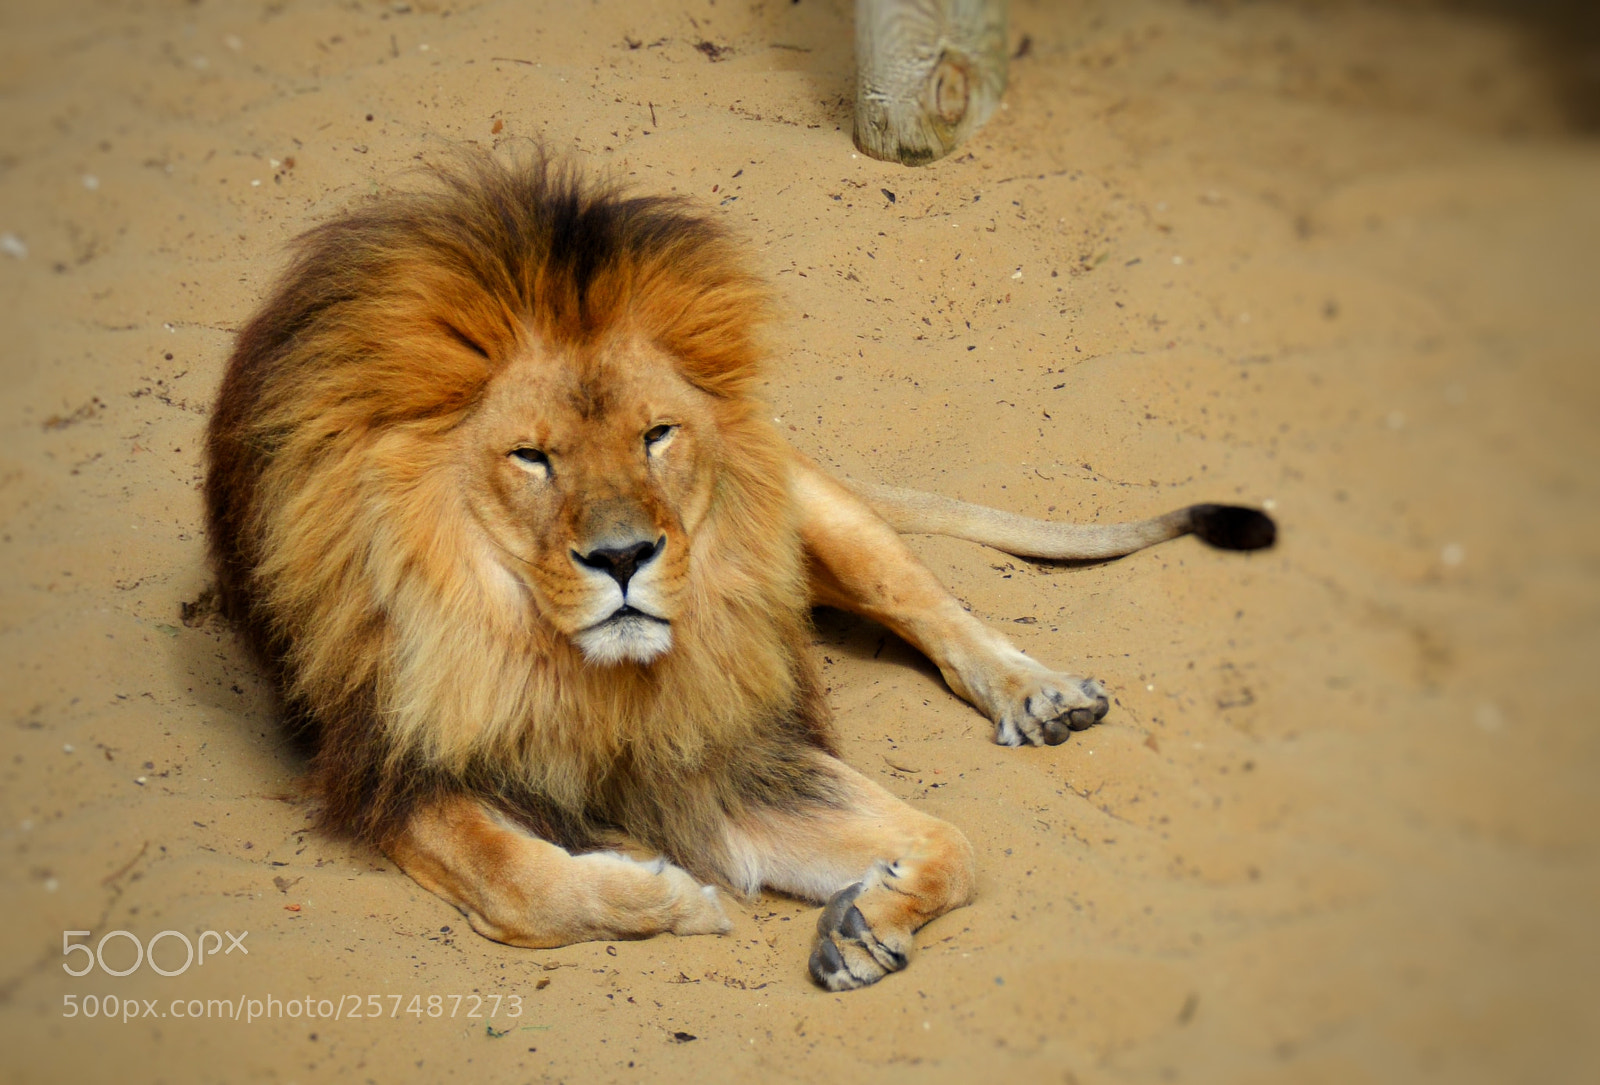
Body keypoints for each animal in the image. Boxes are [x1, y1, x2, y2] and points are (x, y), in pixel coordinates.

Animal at [204, 154, 1274, 991]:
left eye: (657, 435)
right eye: (532, 457)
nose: (625, 556)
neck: (563, 665)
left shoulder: (720, 748)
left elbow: (955, 843)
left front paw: (864, 921)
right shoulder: (386, 764)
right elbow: (518, 876)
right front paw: (673, 897)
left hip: (814, 511)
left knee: (925, 597)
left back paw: (1040, 691)